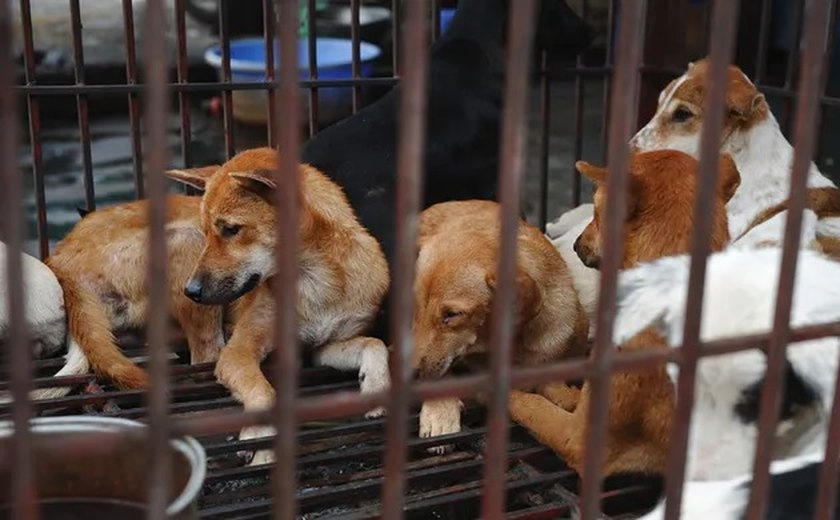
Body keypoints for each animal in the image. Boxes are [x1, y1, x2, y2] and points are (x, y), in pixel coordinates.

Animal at [167, 148, 390, 466]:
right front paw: (258, 438)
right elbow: (264, 393)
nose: (191, 291)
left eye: (231, 229)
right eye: (208, 231)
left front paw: (375, 386)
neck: (314, 281)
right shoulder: (239, 352)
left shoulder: (322, 348)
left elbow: (374, 344)